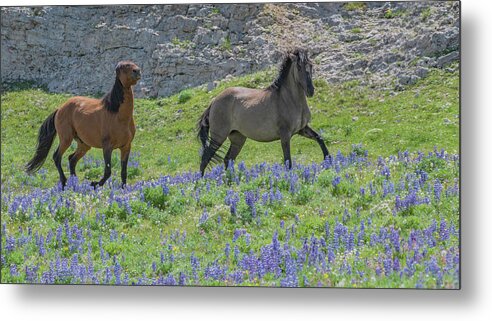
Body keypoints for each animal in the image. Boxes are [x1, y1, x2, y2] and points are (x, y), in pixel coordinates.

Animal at [26, 60, 141, 188]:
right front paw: (94, 184)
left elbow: (124, 172)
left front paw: (123, 188)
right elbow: (108, 171)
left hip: (84, 145)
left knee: (72, 159)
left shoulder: (126, 147)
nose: (137, 71)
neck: (117, 115)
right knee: (57, 157)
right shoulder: (107, 147)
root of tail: (60, 109)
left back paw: (74, 183)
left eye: (133, 63)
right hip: (66, 139)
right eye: (125, 66)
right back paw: (65, 182)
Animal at [197, 47, 330, 175]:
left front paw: (328, 162)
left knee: (228, 159)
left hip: (238, 138)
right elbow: (288, 161)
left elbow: (320, 138)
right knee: (205, 158)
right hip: (218, 136)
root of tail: (214, 101)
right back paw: (201, 180)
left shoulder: (302, 129)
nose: (310, 90)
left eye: (311, 65)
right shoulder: (285, 135)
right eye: (298, 67)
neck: (288, 99)